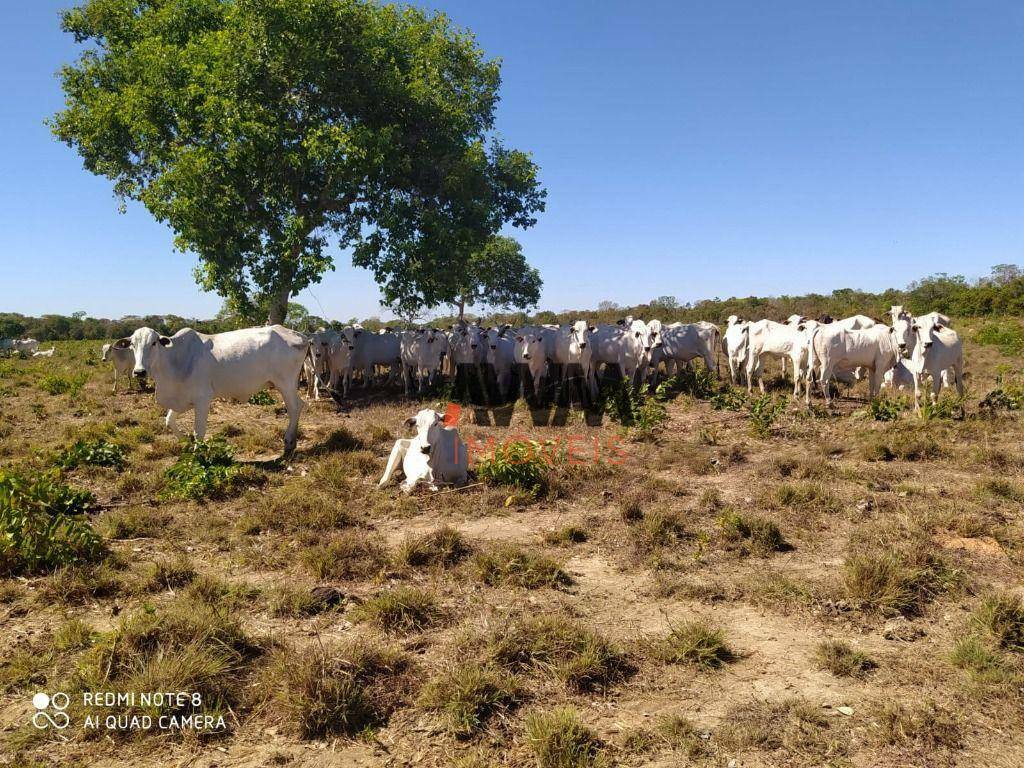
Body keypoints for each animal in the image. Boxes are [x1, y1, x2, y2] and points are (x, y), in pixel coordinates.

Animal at [114, 325, 307, 450]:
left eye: (154, 343)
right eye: (132, 344)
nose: (139, 371)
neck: (176, 359)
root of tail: (300, 336)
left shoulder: (203, 399)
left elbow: (199, 431)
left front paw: (197, 456)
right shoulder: (182, 399)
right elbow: (169, 421)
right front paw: (186, 442)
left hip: (286, 384)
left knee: (295, 407)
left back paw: (289, 441)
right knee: (298, 406)